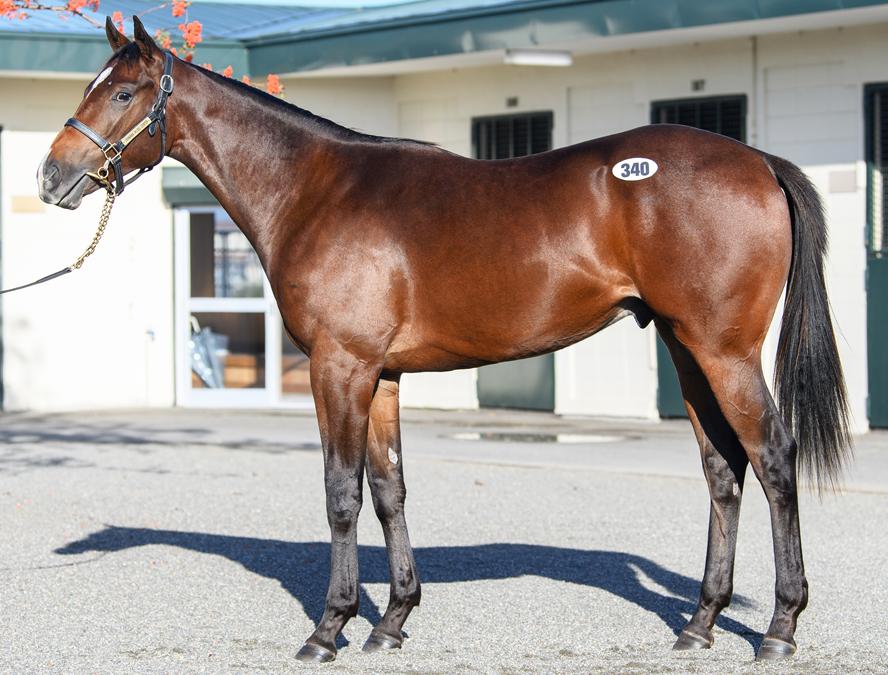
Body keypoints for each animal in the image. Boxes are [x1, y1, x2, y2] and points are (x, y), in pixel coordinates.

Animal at [38, 17, 851, 663]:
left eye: (122, 93)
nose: (51, 176)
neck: (313, 191)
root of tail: (759, 160)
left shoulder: (339, 367)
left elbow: (341, 493)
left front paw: (329, 628)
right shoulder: (381, 375)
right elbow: (390, 488)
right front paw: (392, 620)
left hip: (723, 351)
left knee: (773, 459)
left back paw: (779, 628)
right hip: (687, 350)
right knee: (723, 470)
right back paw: (699, 623)